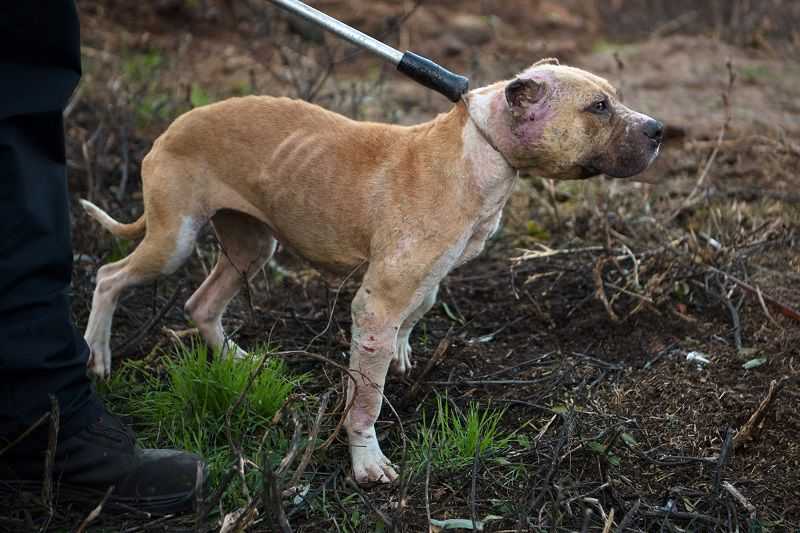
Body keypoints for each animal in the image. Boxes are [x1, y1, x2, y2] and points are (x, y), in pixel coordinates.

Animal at [79, 60, 664, 484]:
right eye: (598, 107)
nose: (659, 129)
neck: (481, 150)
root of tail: (174, 125)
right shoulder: (376, 302)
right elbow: (366, 399)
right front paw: (366, 463)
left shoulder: (423, 279)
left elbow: (418, 311)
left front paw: (401, 353)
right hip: (172, 241)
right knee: (109, 276)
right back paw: (98, 355)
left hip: (252, 245)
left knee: (200, 303)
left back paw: (237, 362)